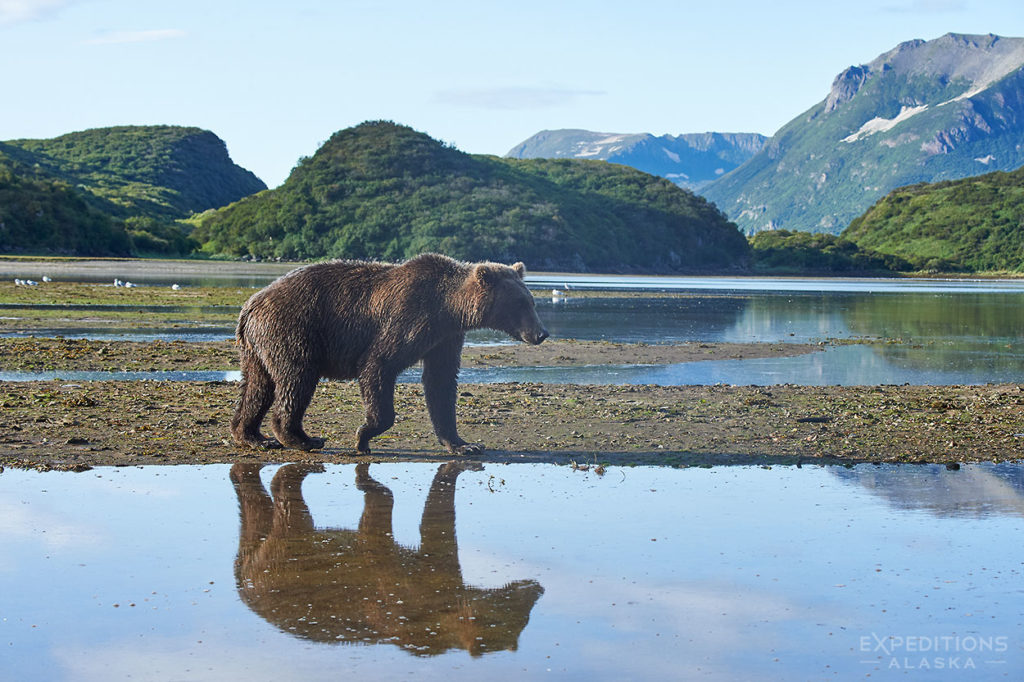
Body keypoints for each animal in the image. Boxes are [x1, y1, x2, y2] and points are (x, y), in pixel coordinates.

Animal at [232, 251, 548, 454]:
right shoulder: (409, 317)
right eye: (521, 303)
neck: (449, 308)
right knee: (296, 380)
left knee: (257, 387)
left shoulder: (445, 338)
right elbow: (378, 364)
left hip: (257, 347)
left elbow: (441, 383)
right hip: (293, 330)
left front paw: (464, 444)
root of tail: (250, 305)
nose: (541, 333)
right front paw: (363, 436)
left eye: (531, 301)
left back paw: (252, 436)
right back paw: (302, 438)